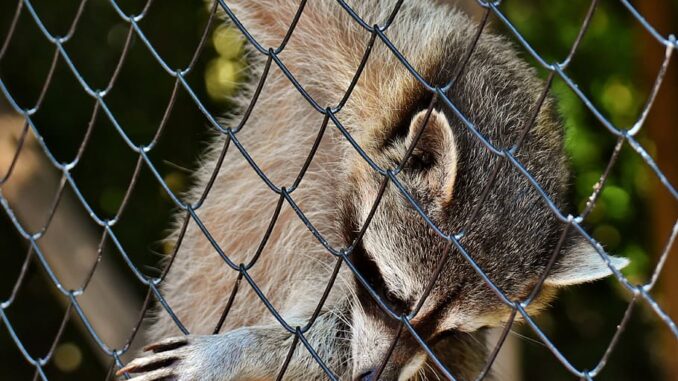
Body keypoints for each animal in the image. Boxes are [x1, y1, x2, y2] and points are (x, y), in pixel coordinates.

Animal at [119, 0, 628, 380]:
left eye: (449, 334)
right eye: (391, 296)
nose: (374, 379)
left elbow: (324, 343)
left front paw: (243, 350)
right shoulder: (377, 48)